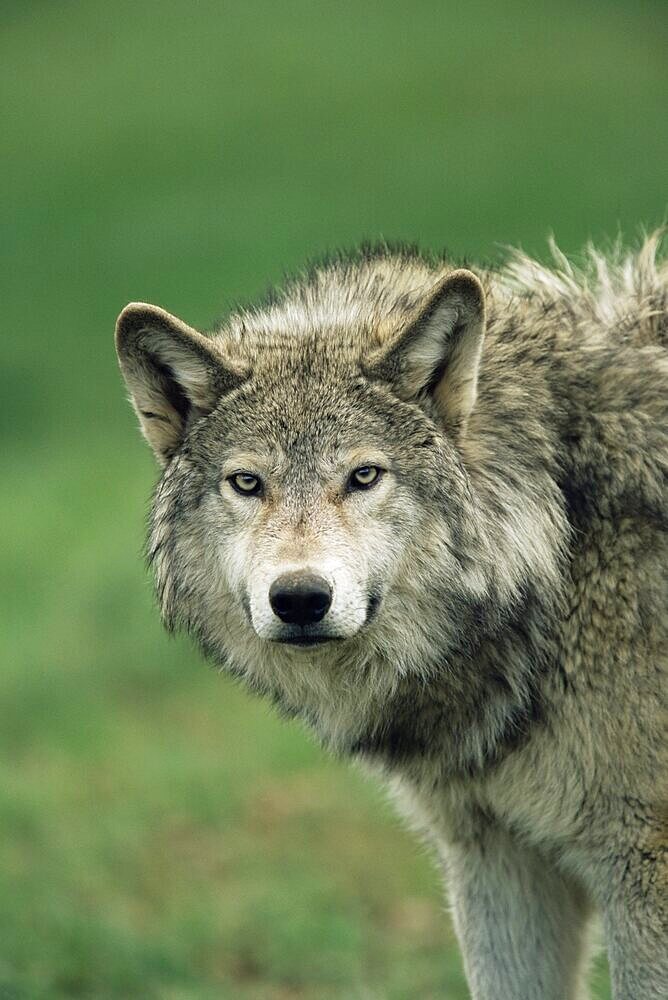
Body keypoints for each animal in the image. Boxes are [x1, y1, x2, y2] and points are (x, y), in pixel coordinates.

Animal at [115, 236, 668, 1000]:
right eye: (247, 483)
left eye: (364, 476)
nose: (299, 598)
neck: (561, 540)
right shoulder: (494, 857)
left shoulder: (639, 864)